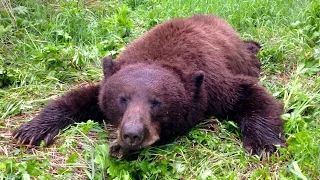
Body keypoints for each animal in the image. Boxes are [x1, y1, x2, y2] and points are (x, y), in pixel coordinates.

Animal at [13, 15, 284, 159]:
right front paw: (32, 130)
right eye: (123, 99)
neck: (159, 56)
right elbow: (80, 98)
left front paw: (264, 144)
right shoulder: (111, 79)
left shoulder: (214, 85)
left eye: (157, 102)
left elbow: (250, 94)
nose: (131, 134)